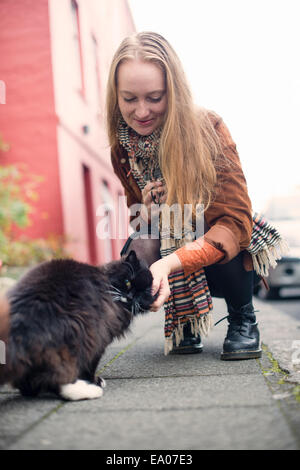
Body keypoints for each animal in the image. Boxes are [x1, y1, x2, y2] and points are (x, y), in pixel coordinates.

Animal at [0, 252, 155, 402]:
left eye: (142, 293)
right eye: (128, 282)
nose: (130, 296)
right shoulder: (100, 338)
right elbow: (90, 367)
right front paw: (95, 381)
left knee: (32, 383)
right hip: (80, 340)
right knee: (52, 379)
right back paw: (89, 391)